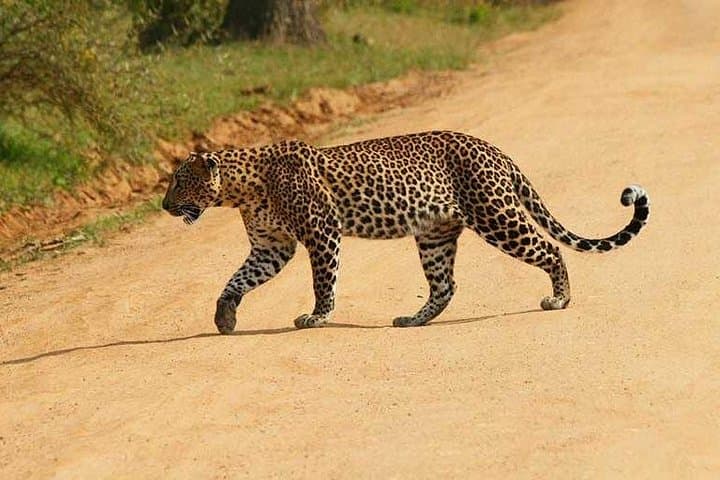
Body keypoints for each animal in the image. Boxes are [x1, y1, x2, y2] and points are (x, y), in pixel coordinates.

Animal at [162, 131, 650, 333]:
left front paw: (317, 317)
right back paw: (413, 320)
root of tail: (495, 149)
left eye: (179, 181)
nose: (164, 205)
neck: (242, 189)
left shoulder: (321, 231)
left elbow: (323, 281)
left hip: (497, 216)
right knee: (445, 285)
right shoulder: (270, 247)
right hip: (434, 235)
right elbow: (236, 280)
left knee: (550, 250)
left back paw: (559, 298)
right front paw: (224, 317)